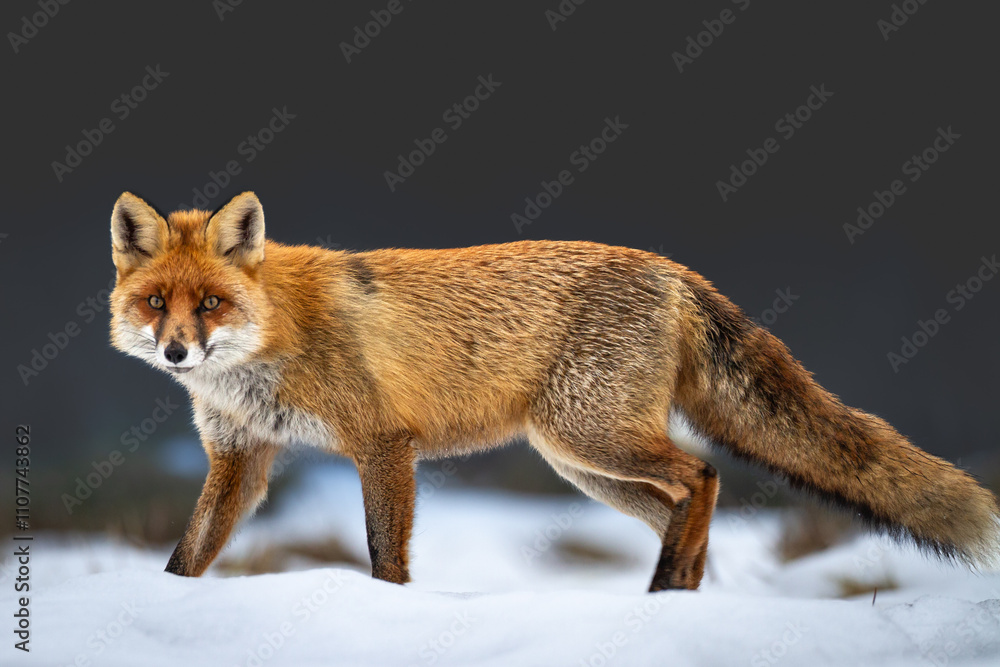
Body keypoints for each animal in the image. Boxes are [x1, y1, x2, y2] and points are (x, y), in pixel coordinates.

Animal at [108, 190, 1000, 591]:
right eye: (156, 303)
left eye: (211, 303)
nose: (179, 350)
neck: (268, 345)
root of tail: (675, 269)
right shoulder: (241, 458)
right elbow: (187, 556)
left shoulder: (383, 444)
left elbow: (384, 556)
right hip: (584, 464)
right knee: (684, 504)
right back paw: (679, 597)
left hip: (590, 438)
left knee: (704, 474)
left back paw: (668, 589)